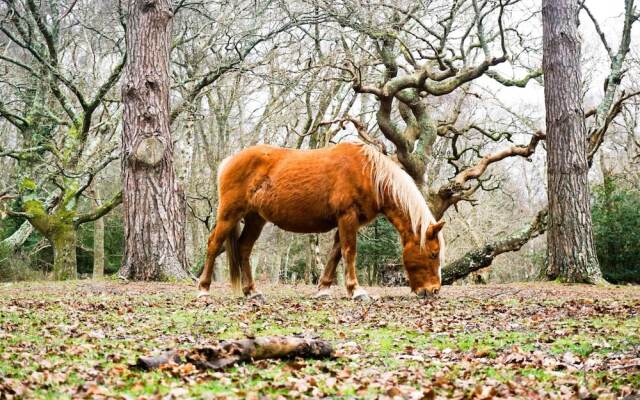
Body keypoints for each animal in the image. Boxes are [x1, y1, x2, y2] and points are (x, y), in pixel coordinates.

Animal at [196, 143, 444, 300]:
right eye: (433, 254)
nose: (433, 291)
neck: (369, 173)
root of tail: (229, 161)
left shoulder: (347, 222)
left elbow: (335, 254)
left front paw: (323, 289)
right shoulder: (347, 217)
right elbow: (349, 252)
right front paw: (356, 291)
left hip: (256, 219)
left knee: (244, 249)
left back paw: (252, 291)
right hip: (229, 215)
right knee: (213, 244)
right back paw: (203, 289)